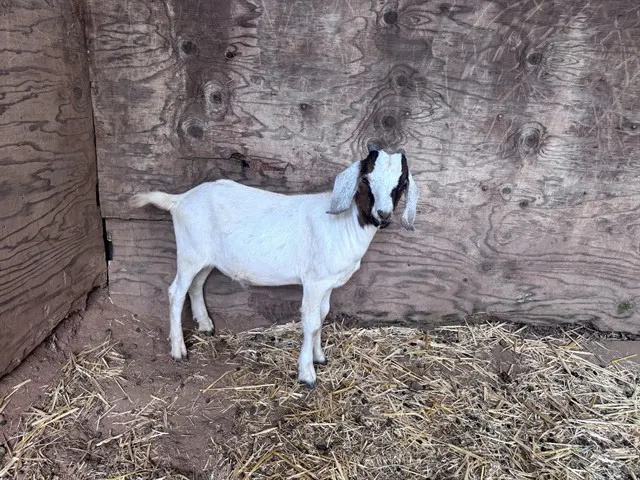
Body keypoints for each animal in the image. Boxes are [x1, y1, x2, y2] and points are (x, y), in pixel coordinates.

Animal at [130, 146, 418, 387]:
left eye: (401, 183)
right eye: (366, 179)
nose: (383, 215)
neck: (343, 223)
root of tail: (180, 200)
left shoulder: (327, 283)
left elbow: (322, 316)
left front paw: (320, 357)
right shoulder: (314, 282)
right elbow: (311, 322)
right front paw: (307, 374)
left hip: (205, 257)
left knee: (196, 285)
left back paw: (205, 325)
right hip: (190, 253)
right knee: (176, 292)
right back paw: (178, 350)